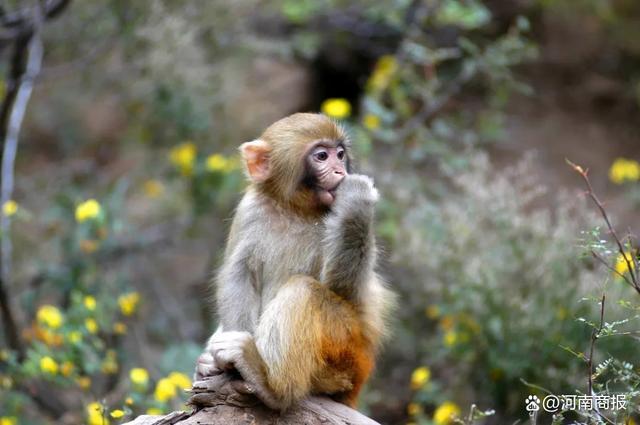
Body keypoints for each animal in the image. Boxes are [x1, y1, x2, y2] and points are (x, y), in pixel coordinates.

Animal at [194, 111, 396, 410]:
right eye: (322, 156)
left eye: (340, 154)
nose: (340, 171)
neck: (295, 209)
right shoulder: (251, 208)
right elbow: (240, 274)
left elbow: (345, 292)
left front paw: (357, 199)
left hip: (347, 350)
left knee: (304, 291)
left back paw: (271, 385)